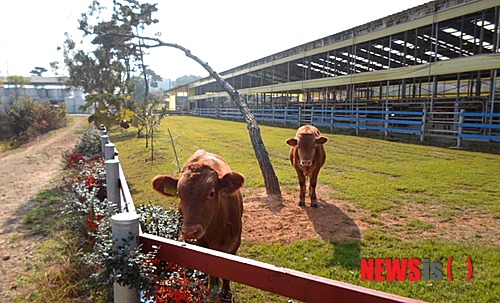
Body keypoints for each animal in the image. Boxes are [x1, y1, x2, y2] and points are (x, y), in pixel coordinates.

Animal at [152, 150, 246, 300]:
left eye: (211, 193)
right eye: (179, 194)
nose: (190, 231)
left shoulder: (233, 244)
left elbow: (226, 274)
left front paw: (226, 294)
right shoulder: (202, 245)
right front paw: (211, 289)